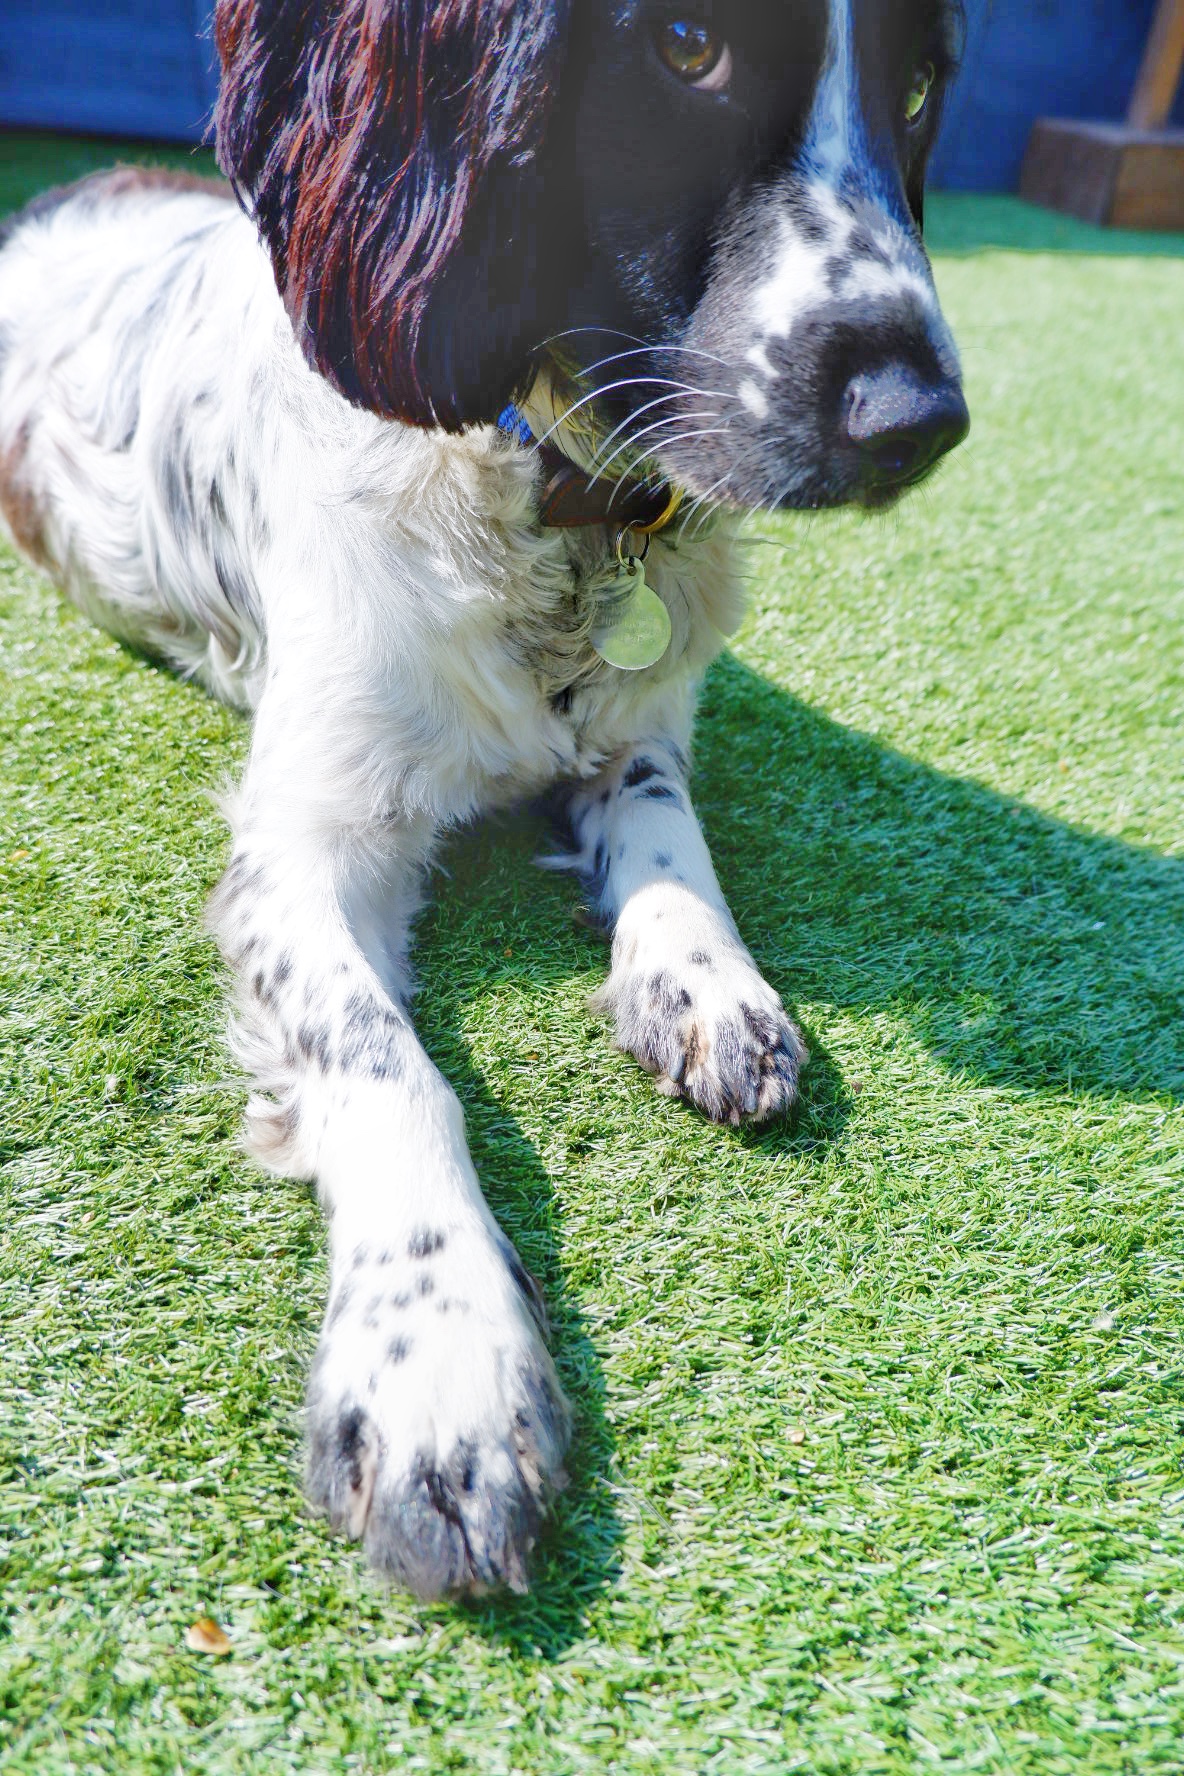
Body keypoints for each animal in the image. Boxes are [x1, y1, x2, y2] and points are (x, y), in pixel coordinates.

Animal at [0, 0, 972, 1598]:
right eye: (687, 47)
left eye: (916, 89)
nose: (920, 421)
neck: (551, 501)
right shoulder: (301, 842)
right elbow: (388, 1065)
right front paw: (440, 1367)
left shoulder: (641, 728)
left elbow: (667, 830)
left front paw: (705, 979)